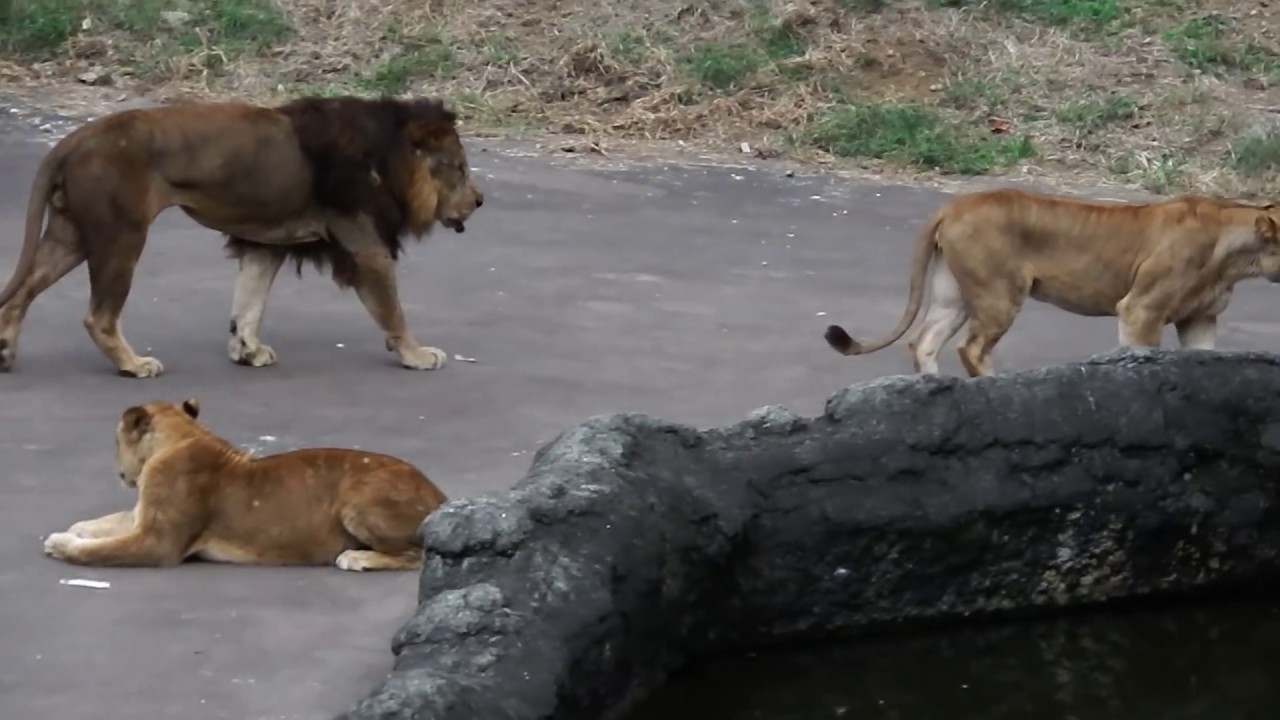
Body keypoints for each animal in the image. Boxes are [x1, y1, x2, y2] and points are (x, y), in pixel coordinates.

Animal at [0, 95, 485, 378]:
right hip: (121, 234)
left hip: (71, 234)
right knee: (98, 316)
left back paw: (5, 352)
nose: (479, 200)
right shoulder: (365, 246)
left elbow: (249, 302)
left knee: (20, 294)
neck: (390, 159)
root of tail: (74, 139)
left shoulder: (267, 244)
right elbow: (394, 313)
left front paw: (248, 350)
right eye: (460, 169)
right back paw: (134, 365)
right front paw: (417, 355)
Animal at [41, 397, 448, 571]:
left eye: (115, 441)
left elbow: (100, 551)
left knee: (416, 556)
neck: (181, 437)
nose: (118, 470)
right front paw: (73, 530)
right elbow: (105, 523)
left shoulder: (159, 544)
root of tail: (440, 495)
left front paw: (63, 544)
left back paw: (357, 557)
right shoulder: (143, 517)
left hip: (358, 499)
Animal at [823, 188, 1280, 377]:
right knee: (970, 348)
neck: (1238, 254)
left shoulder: (1199, 319)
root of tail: (954, 205)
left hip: (954, 296)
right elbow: (1139, 353)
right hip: (1000, 293)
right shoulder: (1141, 309)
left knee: (924, 342)